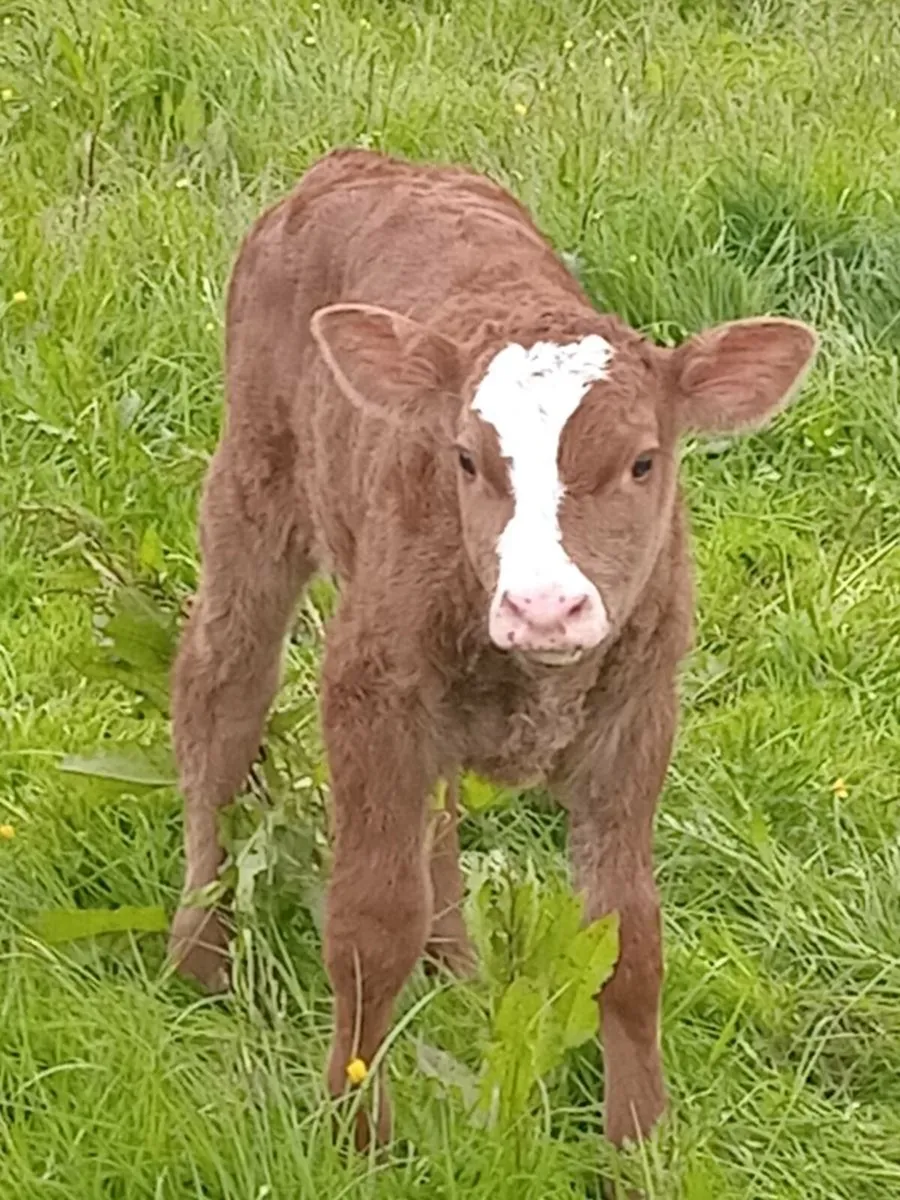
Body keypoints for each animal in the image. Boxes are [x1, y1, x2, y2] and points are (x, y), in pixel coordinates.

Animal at [167, 147, 818, 1149]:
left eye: (642, 461)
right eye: (468, 461)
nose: (545, 606)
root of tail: (367, 158)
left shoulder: (640, 714)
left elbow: (629, 942)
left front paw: (639, 1146)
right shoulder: (369, 689)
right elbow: (369, 925)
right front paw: (357, 1130)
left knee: (434, 810)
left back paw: (457, 961)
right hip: (253, 481)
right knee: (219, 702)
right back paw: (197, 954)